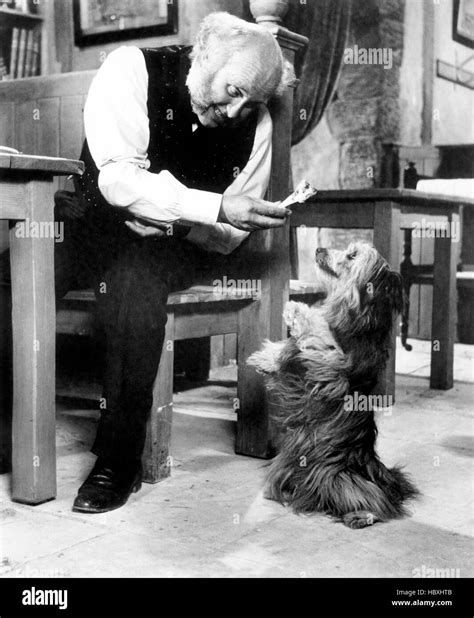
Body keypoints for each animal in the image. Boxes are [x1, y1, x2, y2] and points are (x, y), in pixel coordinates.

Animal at [248, 241, 418, 524]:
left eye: (352, 255)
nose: (319, 249)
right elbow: (290, 347)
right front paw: (266, 358)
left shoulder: (332, 369)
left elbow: (319, 337)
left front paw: (299, 314)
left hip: (337, 477)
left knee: (366, 498)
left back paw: (364, 514)